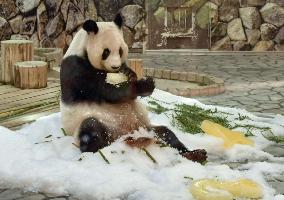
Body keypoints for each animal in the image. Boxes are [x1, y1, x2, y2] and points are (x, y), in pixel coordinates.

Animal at [60, 13, 206, 162]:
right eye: (106, 52)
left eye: (120, 50)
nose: (115, 67)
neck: (82, 48)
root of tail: (124, 134)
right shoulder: (76, 68)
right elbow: (106, 91)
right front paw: (142, 85)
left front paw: (132, 74)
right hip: (94, 123)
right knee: (90, 129)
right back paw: (100, 149)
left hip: (146, 128)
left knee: (167, 134)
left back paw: (194, 154)